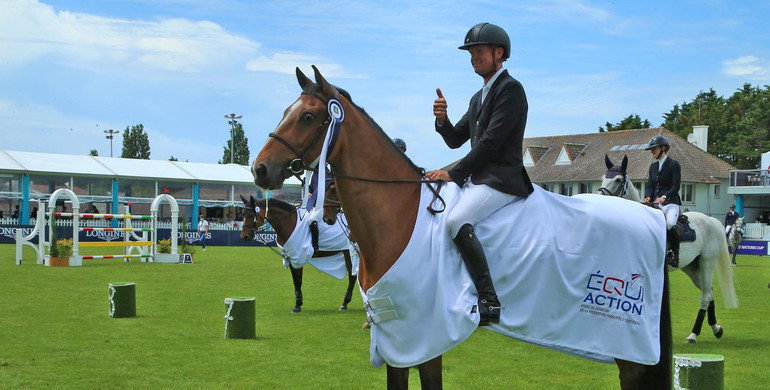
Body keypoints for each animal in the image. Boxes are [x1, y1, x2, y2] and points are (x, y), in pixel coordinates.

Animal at [254, 65, 672, 388]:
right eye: (286, 111)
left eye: (308, 117)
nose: (260, 169)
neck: (399, 214)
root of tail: (653, 219)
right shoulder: (395, 336)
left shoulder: (423, 333)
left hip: (627, 347)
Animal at [596, 154, 736, 342]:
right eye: (603, 178)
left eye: (618, 179)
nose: (599, 198)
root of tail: (712, 220)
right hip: (691, 267)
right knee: (709, 292)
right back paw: (716, 329)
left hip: (707, 263)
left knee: (705, 296)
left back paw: (693, 334)